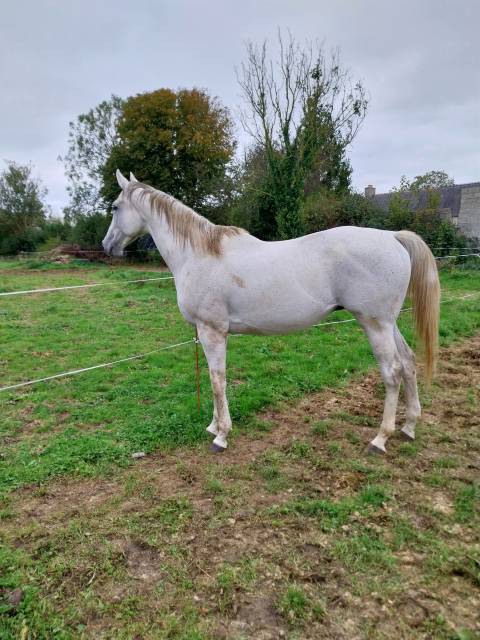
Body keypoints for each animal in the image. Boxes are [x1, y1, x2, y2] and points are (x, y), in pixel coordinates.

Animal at [102, 170, 440, 454]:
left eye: (115, 207)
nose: (106, 245)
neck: (198, 254)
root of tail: (392, 236)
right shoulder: (206, 331)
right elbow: (215, 380)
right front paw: (213, 425)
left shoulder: (212, 331)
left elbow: (217, 379)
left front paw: (221, 435)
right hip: (388, 323)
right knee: (408, 363)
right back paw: (409, 426)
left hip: (375, 324)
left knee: (392, 373)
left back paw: (380, 439)